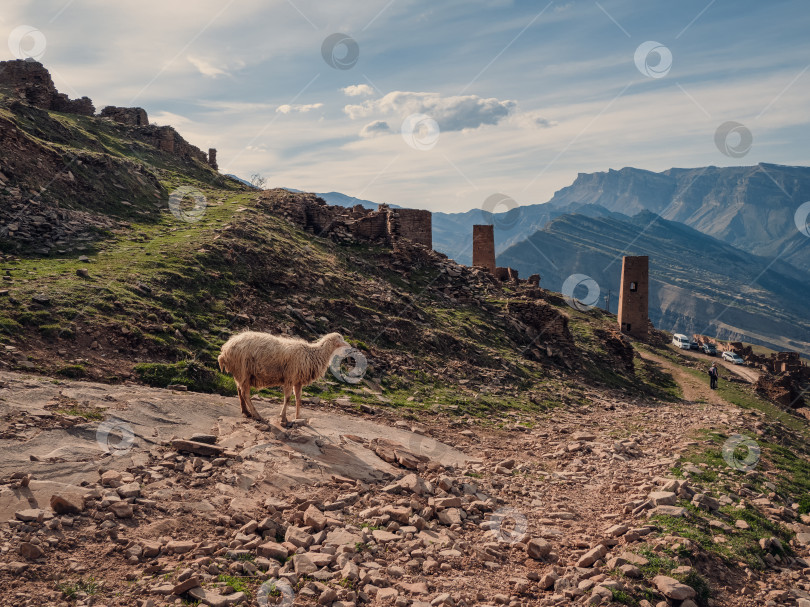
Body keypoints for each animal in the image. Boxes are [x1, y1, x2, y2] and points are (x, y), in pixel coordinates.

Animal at [216, 330, 348, 426]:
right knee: (245, 394)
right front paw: (283, 418)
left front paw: (298, 417)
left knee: (239, 391)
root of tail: (224, 351)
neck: (312, 352)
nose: (348, 345)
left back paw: (246, 412)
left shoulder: (297, 380)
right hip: (243, 370)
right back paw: (257, 416)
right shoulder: (289, 377)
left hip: (240, 373)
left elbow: (299, 399)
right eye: (340, 337)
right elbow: (288, 398)